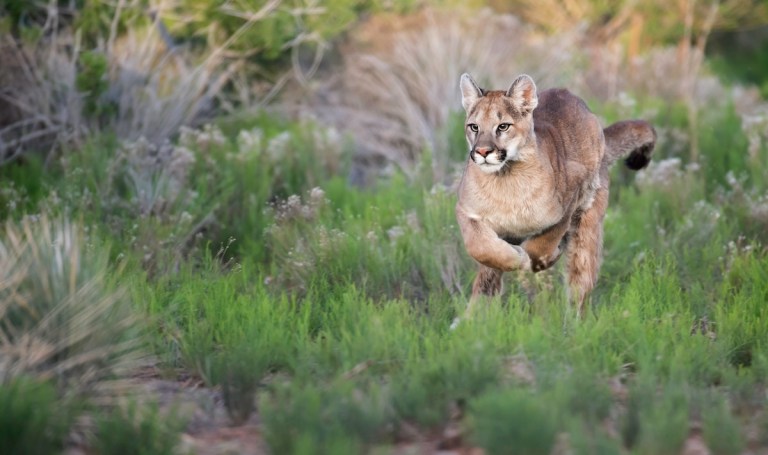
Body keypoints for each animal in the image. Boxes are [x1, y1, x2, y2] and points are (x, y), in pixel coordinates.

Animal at [455, 73, 656, 319]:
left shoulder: (570, 200)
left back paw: (573, 324)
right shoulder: (466, 211)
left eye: (503, 126)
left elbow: (544, 243)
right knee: (486, 281)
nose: (482, 152)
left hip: (586, 232)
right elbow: (480, 247)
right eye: (474, 127)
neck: (505, 179)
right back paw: (471, 320)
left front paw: (537, 257)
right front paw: (516, 258)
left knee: (580, 286)